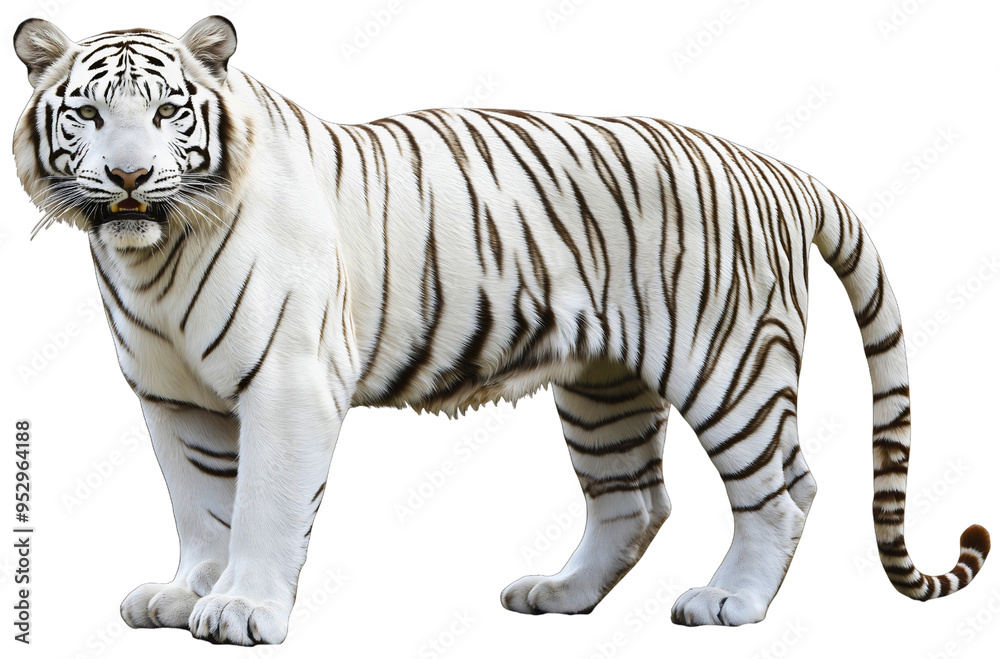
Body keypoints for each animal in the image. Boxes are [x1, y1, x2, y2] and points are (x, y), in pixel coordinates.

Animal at [13, 15, 990, 646]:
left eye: (168, 111)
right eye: (89, 114)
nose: (128, 177)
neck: (155, 257)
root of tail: (778, 168)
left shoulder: (289, 384)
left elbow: (262, 505)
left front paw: (244, 610)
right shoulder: (171, 397)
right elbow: (201, 505)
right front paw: (186, 594)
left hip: (729, 364)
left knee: (783, 489)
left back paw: (729, 603)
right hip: (603, 385)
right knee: (635, 500)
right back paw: (558, 594)